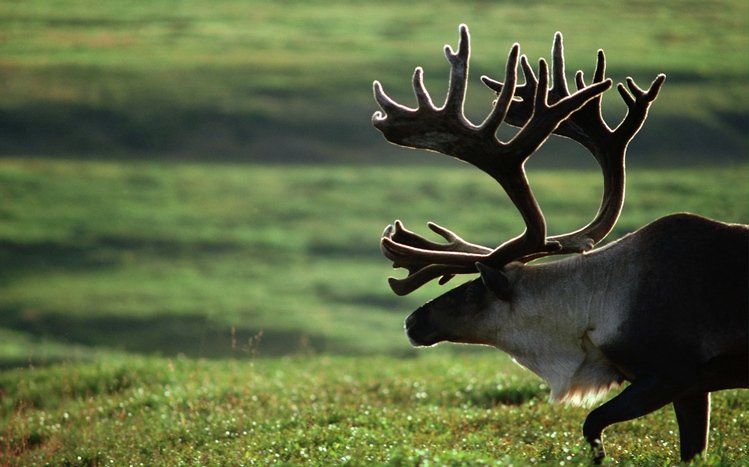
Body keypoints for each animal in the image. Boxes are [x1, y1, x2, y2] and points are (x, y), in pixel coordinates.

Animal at [372, 24, 748, 463]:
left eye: (472, 291)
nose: (412, 322)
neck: (596, 307)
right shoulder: (693, 387)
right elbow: (692, 449)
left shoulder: (672, 372)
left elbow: (592, 424)